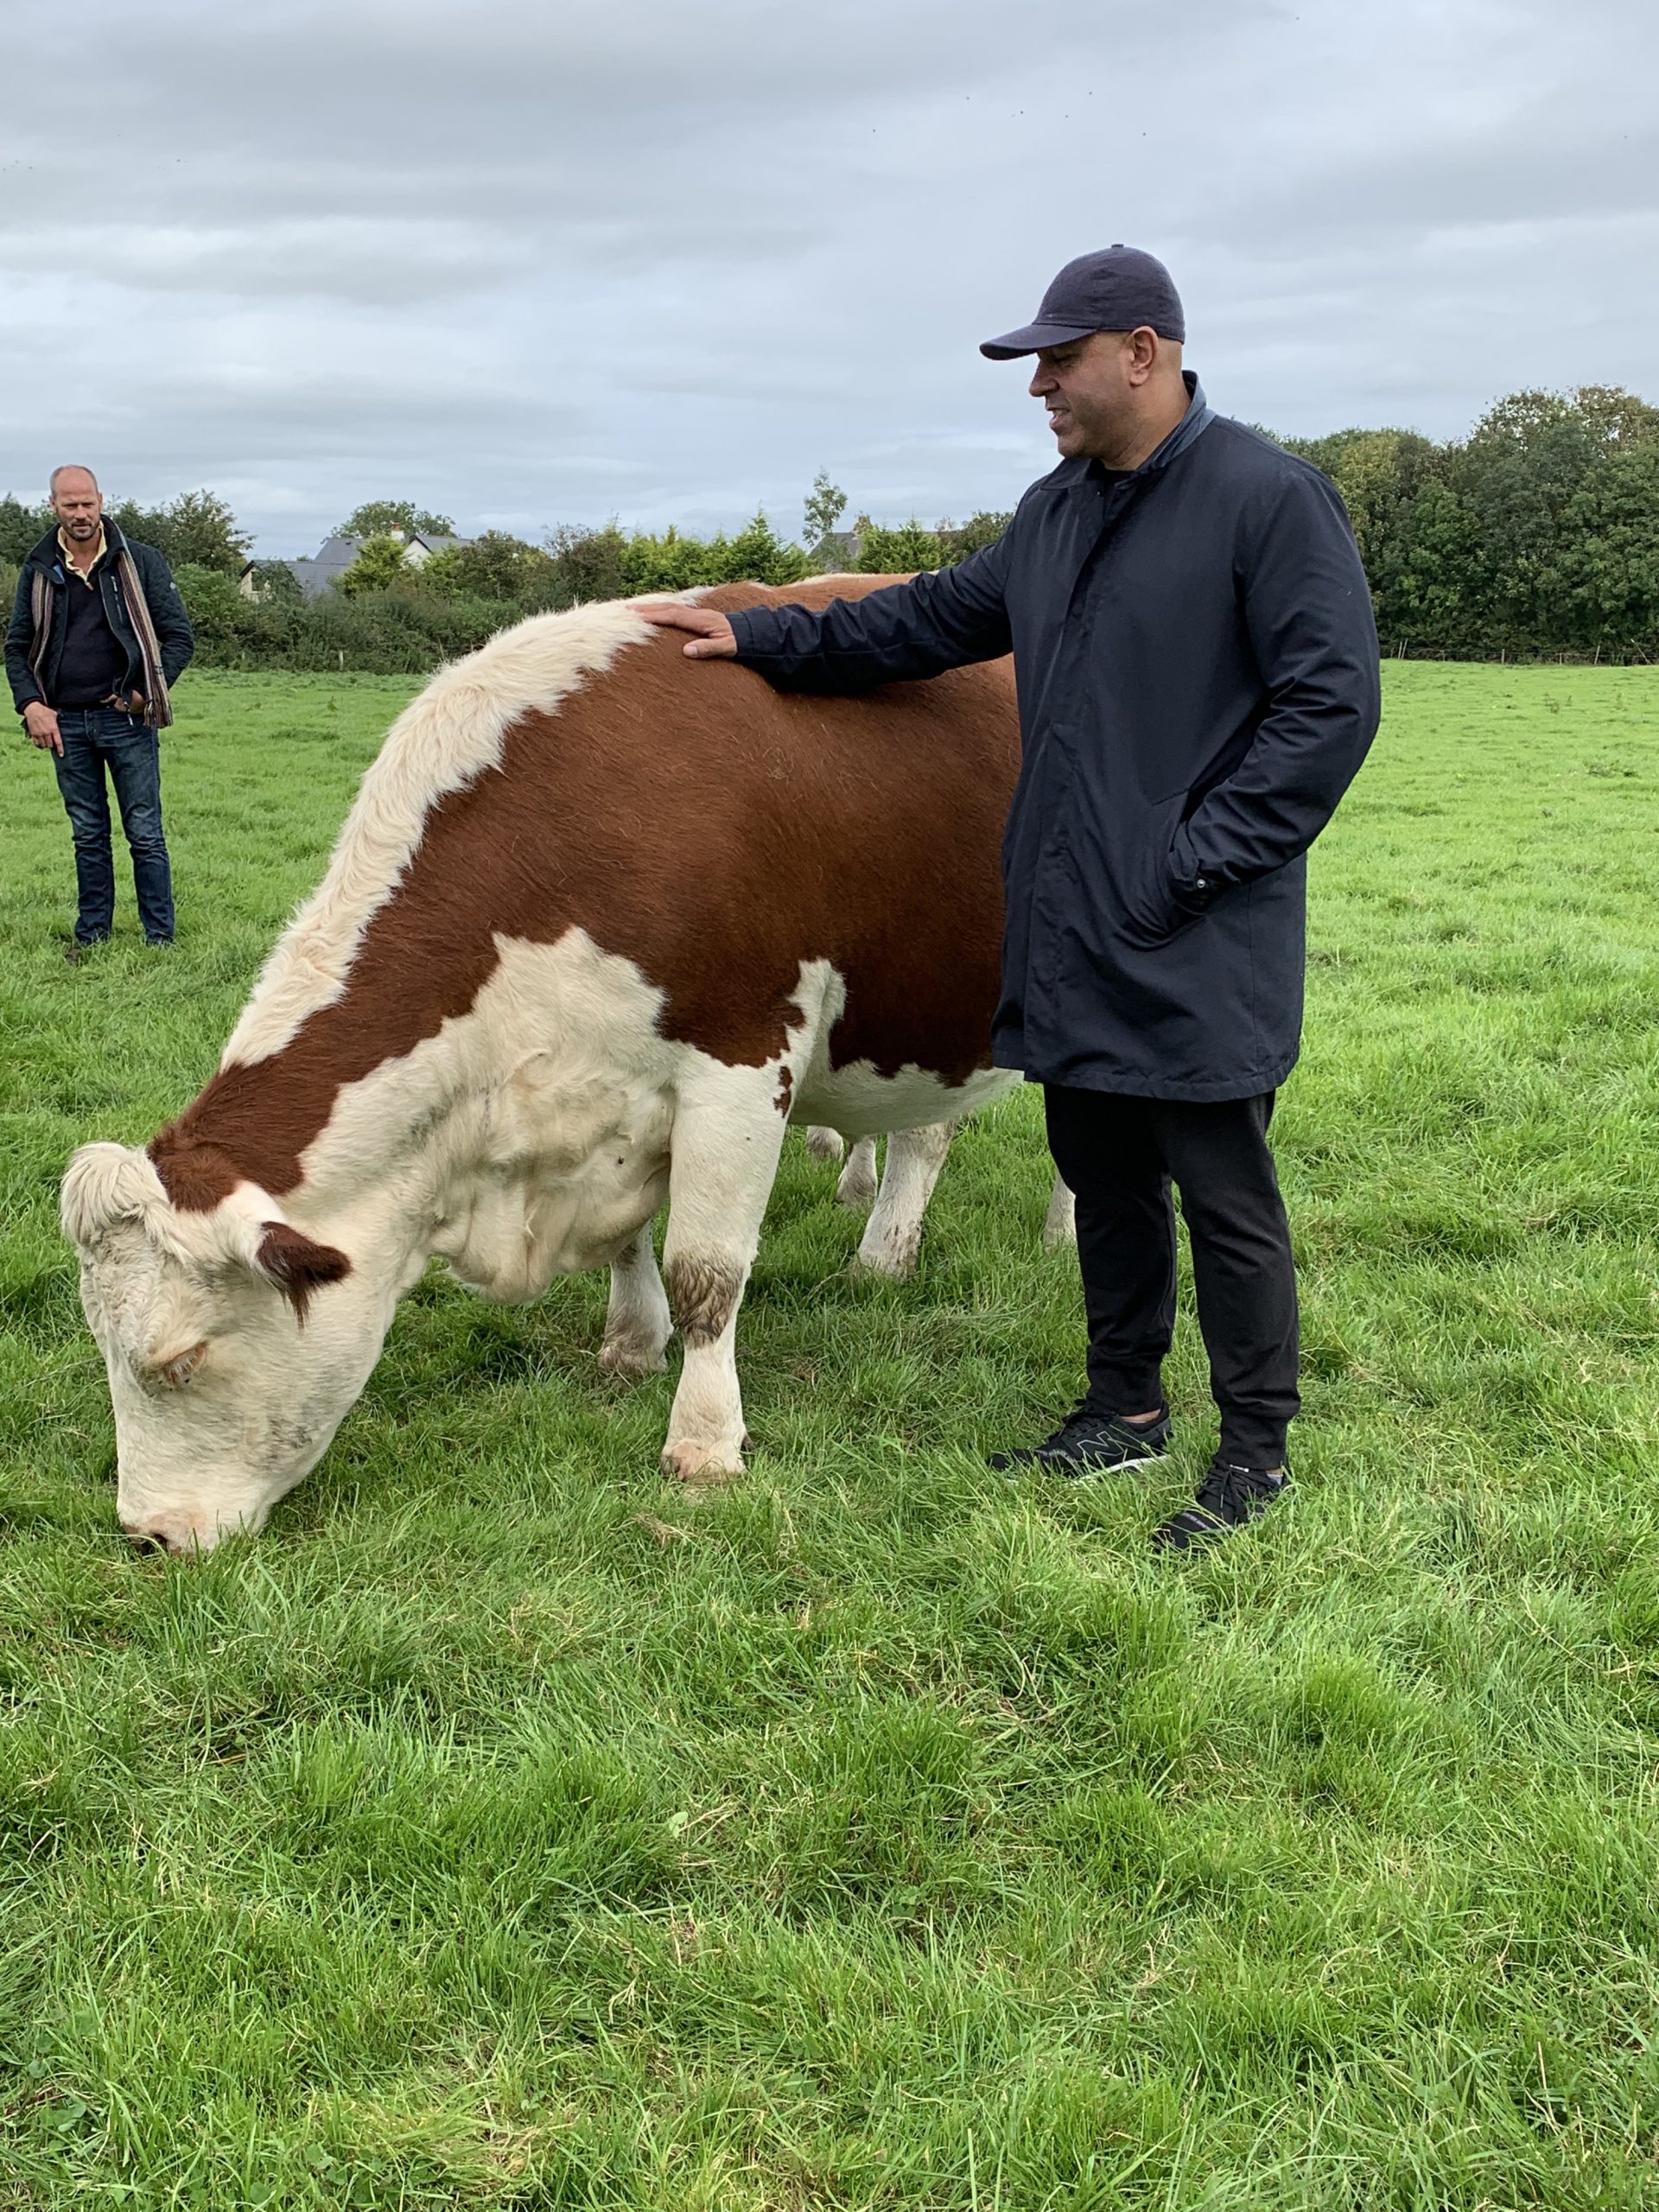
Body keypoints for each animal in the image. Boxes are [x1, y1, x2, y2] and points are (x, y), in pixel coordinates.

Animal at [65, 579, 1044, 1548]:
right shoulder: (607, 1104)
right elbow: (626, 1240)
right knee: (925, 1133)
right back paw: (884, 1248)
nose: (147, 1533)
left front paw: (705, 1443)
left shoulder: (739, 1065)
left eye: (180, 1357)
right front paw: (631, 1345)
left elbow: (707, 1272)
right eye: (101, 1345)